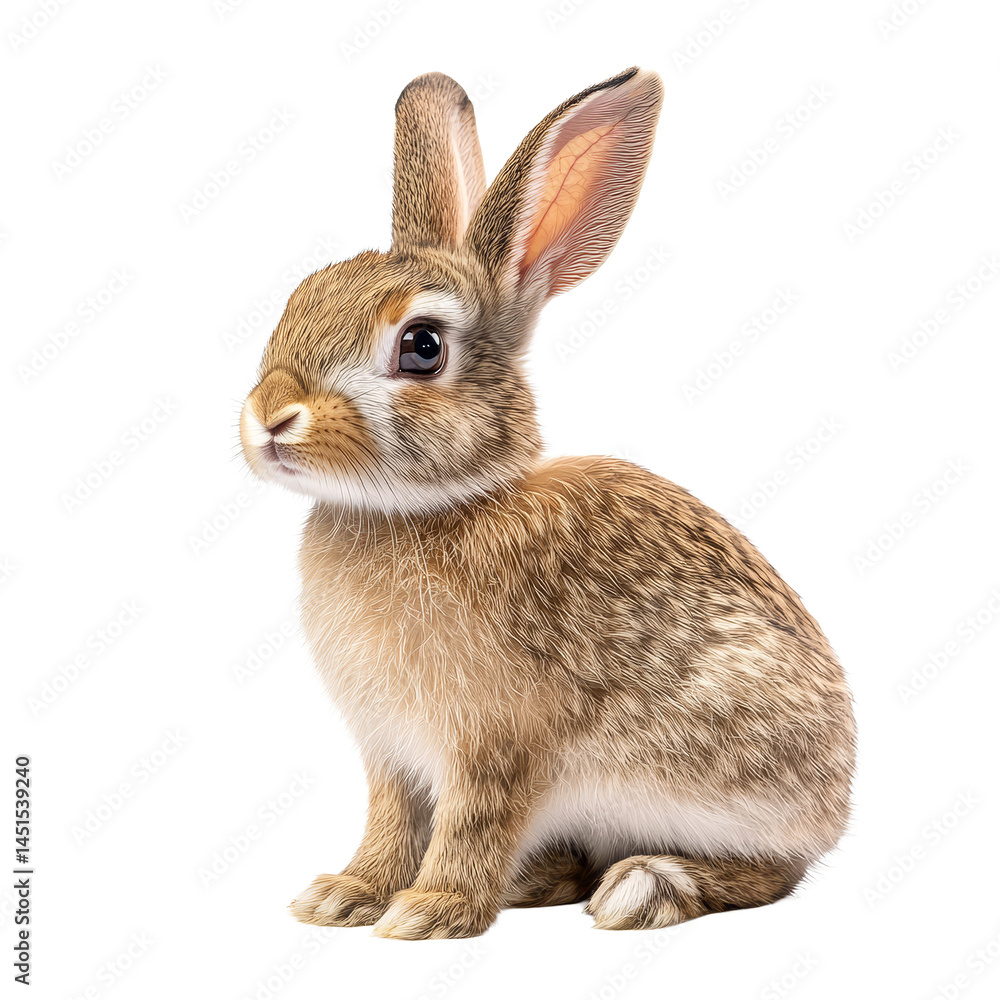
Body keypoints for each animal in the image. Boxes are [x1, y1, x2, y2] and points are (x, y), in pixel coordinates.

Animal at [239, 67, 855, 940]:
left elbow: (472, 824)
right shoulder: (391, 754)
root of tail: (840, 800)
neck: (424, 508)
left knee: (775, 870)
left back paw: (646, 886)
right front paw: (343, 896)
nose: (268, 417)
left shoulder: (495, 744)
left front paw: (428, 912)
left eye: (421, 347)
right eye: (300, 297)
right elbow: (389, 823)